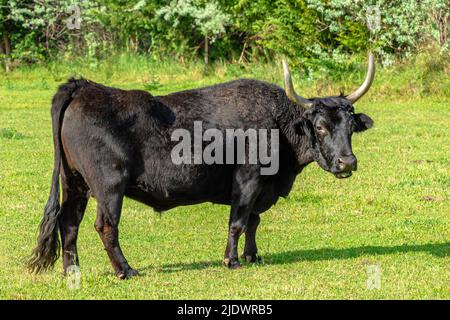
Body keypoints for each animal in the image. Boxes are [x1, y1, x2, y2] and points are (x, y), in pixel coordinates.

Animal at [27, 60, 372, 280]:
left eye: (350, 127)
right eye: (321, 126)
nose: (347, 162)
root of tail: (83, 87)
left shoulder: (261, 189)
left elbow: (254, 221)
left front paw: (253, 256)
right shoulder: (248, 179)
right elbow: (238, 222)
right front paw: (232, 261)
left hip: (74, 182)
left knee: (69, 222)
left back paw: (72, 271)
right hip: (108, 186)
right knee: (105, 226)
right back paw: (125, 270)